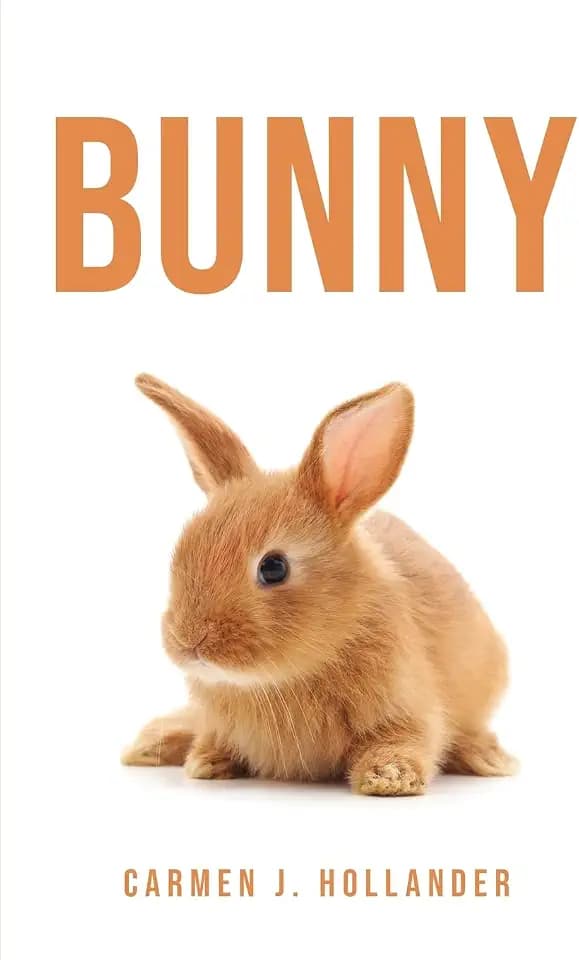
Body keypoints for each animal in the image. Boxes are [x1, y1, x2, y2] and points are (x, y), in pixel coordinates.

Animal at [122, 374, 516, 796]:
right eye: (181, 551)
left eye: (273, 568)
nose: (189, 641)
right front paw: (205, 762)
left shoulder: (408, 706)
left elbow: (404, 740)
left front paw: (388, 778)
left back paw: (489, 757)